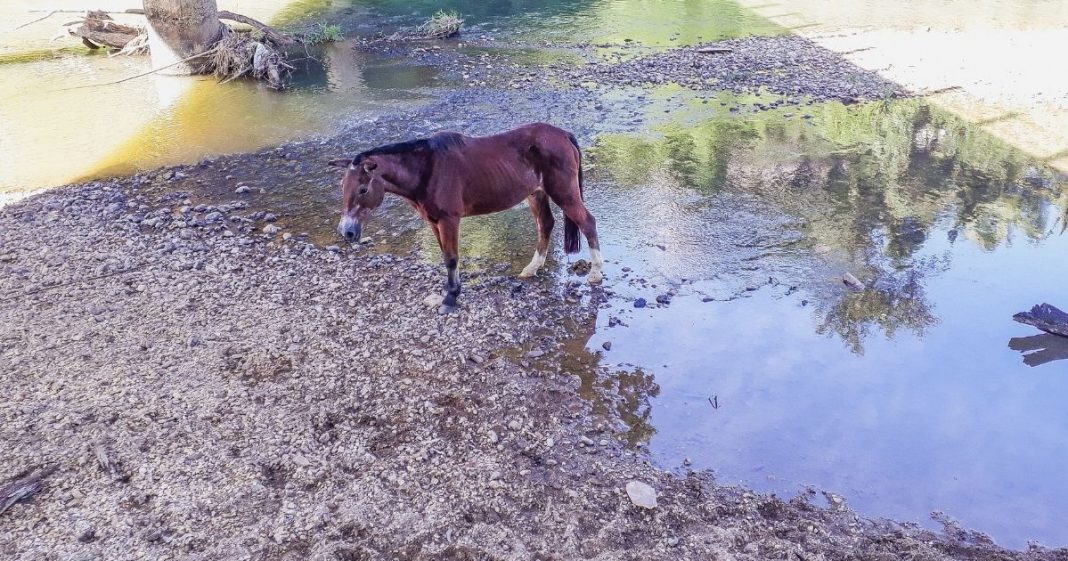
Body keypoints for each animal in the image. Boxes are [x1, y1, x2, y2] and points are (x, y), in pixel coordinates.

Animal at [326, 121, 602, 312]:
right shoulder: (434, 221)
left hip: (563, 192)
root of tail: (563, 134)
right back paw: (532, 268)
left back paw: (596, 274)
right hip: (536, 194)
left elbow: (451, 258)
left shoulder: (449, 219)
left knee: (587, 223)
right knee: (545, 224)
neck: (429, 169)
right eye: (342, 187)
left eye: (363, 189)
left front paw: (450, 299)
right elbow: (445, 256)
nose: (346, 232)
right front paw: (448, 291)